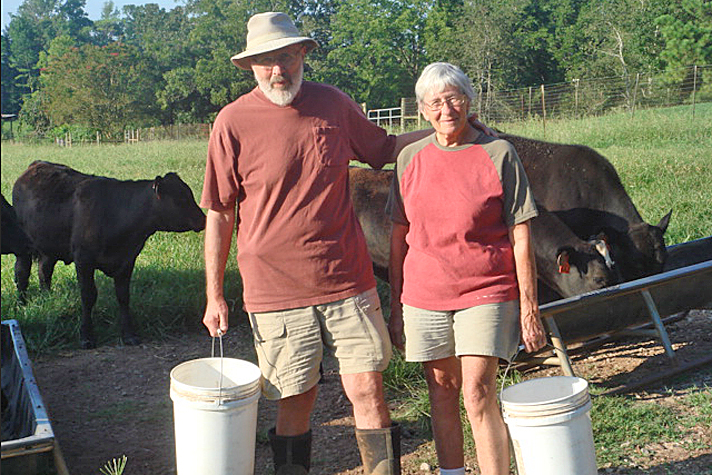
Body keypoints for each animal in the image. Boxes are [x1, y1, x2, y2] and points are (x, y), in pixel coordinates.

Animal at [12, 162, 206, 348]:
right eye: (181, 198)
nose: (203, 219)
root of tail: (35, 166)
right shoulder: (83, 260)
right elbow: (88, 296)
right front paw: (86, 336)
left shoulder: (127, 261)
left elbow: (123, 297)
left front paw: (129, 334)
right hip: (23, 247)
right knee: (22, 274)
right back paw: (21, 304)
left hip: (49, 247)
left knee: (44, 271)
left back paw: (47, 298)